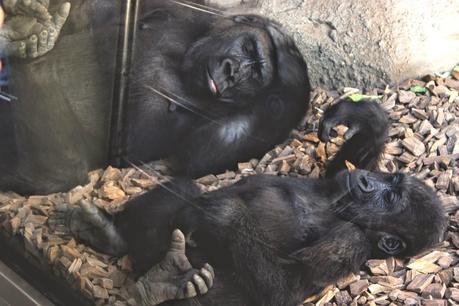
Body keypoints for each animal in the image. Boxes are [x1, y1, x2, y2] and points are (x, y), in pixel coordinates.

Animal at [0, 0, 310, 194]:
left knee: (60, 173)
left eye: (255, 73)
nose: (231, 71)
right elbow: (87, 16)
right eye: (247, 48)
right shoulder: (182, 10)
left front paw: (289, 67)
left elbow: (202, 152)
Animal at [48, 100, 448, 306]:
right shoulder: (339, 184)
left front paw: (227, 215)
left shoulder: (352, 242)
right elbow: (339, 167)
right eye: (389, 185)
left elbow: (281, 286)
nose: (368, 182)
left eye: (390, 199)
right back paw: (108, 234)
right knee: (183, 193)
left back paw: (164, 283)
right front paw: (361, 116)